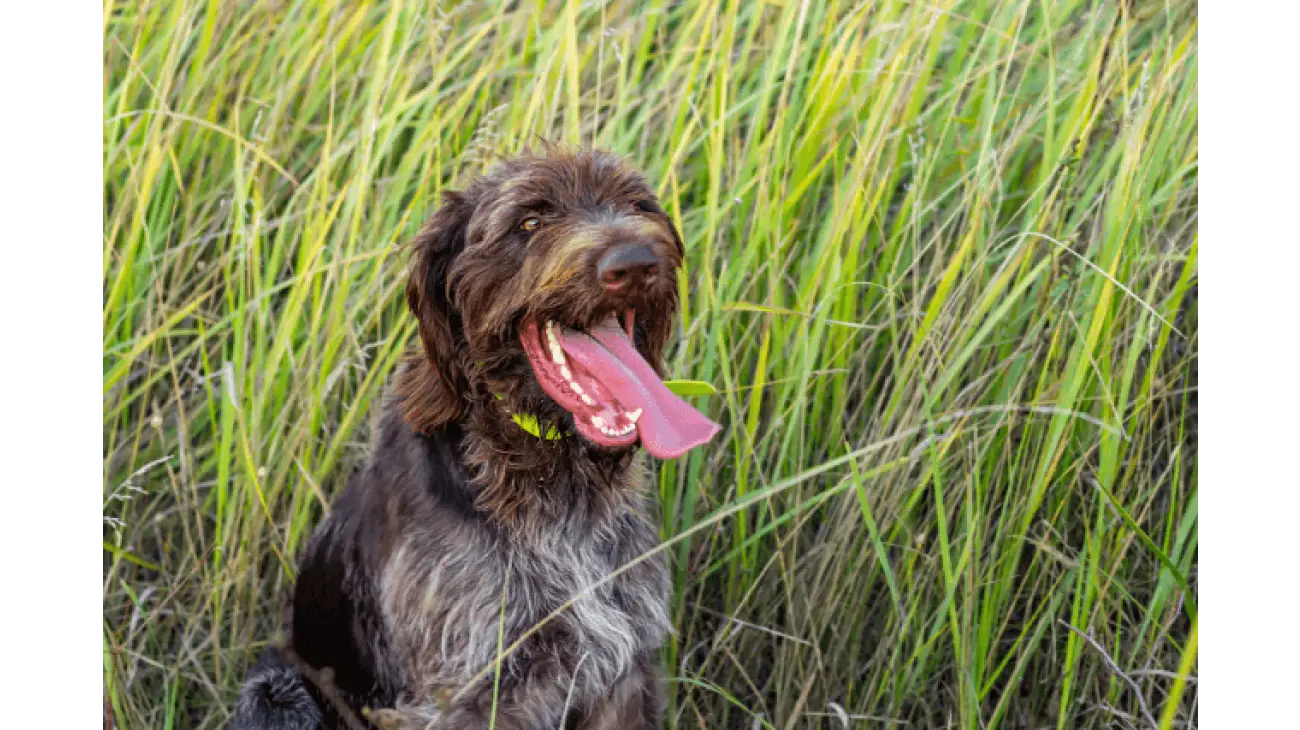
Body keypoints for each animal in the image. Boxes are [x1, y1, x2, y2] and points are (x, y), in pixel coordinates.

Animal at [231, 149, 722, 727]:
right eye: (529, 222)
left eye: (638, 205)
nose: (636, 262)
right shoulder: (462, 696)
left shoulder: (622, 672)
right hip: (277, 691)